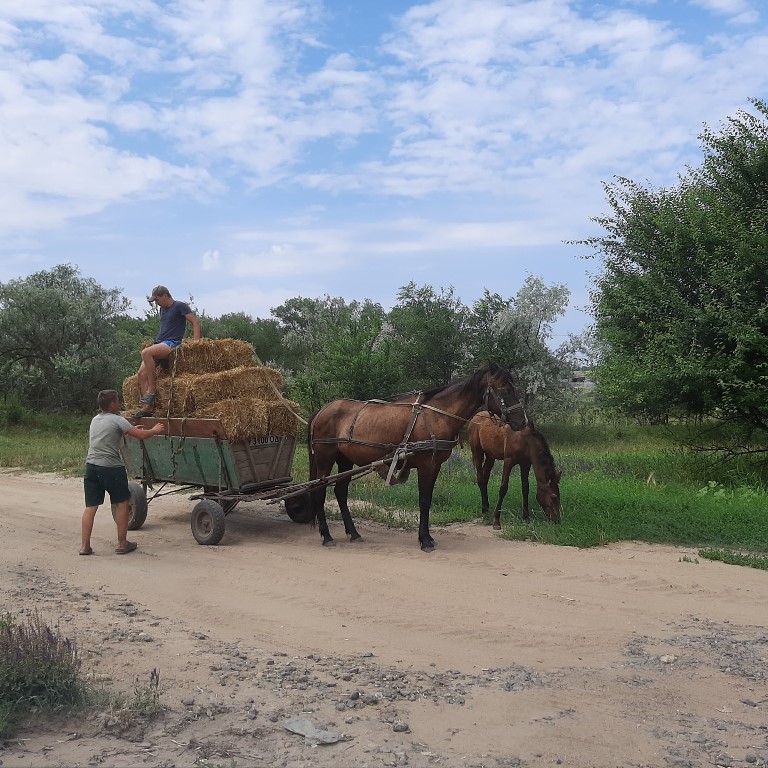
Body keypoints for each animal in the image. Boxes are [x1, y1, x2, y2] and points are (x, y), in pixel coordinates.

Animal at [300, 364, 528, 548]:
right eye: (505, 389)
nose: (522, 421)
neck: (436, 416)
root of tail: (322, 410)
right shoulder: (426, 464)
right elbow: (424, 500)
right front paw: (425, 540)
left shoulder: (435, 466)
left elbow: (427, 499)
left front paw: (427, 537)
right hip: (325, 458)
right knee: (319, 492)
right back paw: (327, 536)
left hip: (344, 460)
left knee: (340, 492)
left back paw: (354, 533)